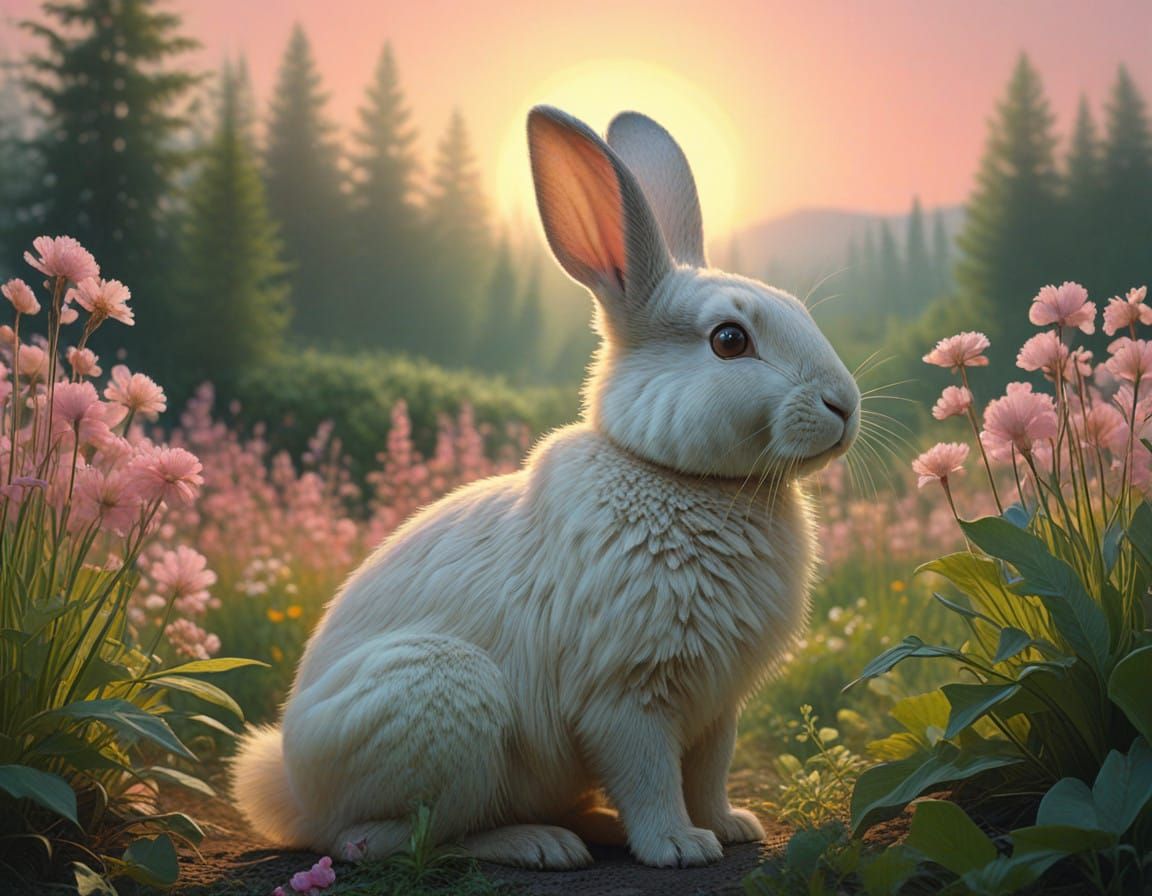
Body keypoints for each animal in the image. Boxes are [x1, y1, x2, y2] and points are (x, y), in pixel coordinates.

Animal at [232, 105, 860, 870]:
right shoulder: (627, 695)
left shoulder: (717, 708)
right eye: (729, 340)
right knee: (391, 837)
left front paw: (733, 826)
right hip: (446, 705)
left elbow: (708, 773)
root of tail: (290, 788)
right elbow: (651, 776)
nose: (844, 407)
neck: (676, 476)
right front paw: (680, 846)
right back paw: (544, 844)